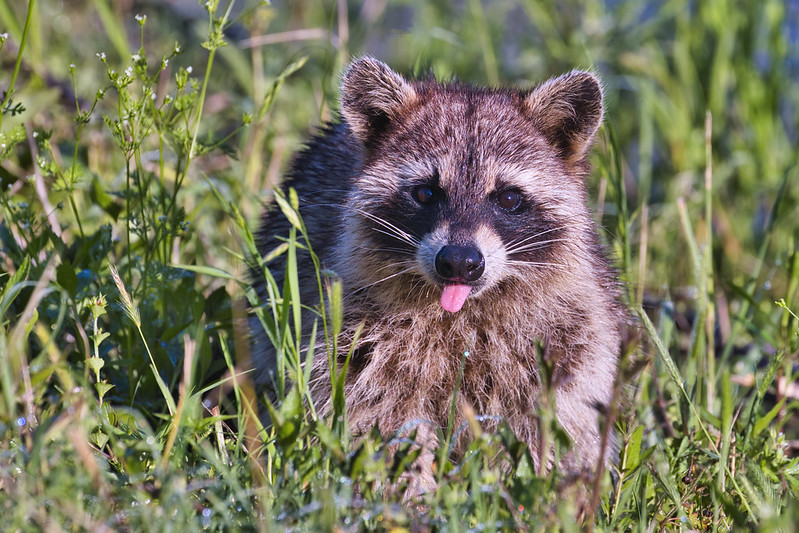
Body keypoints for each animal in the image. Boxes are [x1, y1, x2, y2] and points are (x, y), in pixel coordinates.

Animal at [253, 56, 628, 484]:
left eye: (509, 198)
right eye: (425, 193)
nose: (460, 262)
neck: (462, 310)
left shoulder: (568, 335)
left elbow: (547, 422)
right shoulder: (355, 338)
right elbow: (380, 417)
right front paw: (410, 487)